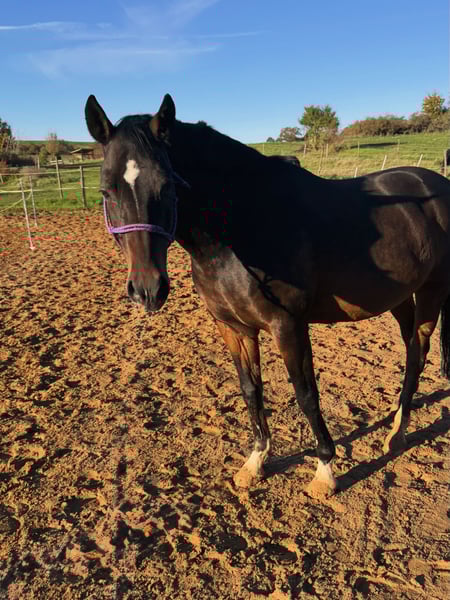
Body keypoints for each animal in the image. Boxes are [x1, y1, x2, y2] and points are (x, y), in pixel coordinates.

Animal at [85, 93, 450, 497]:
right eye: (106, 191)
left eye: (166, 186)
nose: (148, 290)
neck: (241, 229)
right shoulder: (233, 327)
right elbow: (251, 390)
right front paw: (256, 461)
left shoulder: (288, 325)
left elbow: (305, 393)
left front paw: (324, 470)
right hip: (400, 298)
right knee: (412, 351)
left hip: (432, 291)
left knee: (417, 354)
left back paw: (397, 435)